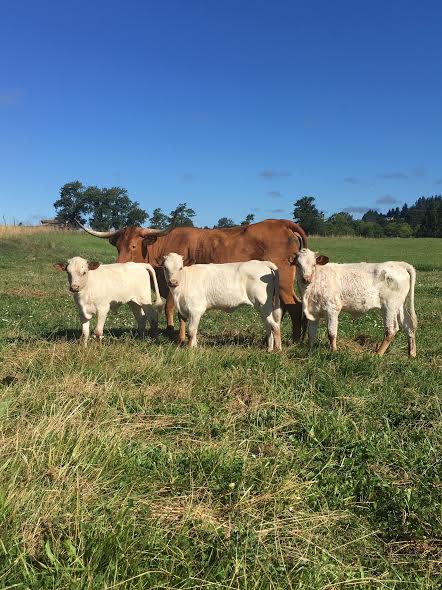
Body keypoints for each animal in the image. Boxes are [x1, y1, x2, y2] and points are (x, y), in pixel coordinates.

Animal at [78, 220, 308, 344]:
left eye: (134, 245)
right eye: (118, 246)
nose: (118, 265)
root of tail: (282, 223)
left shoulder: (174, 286)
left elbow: (173, 310)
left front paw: (177, 335)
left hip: (284, 283)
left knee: (295, 307)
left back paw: (296, 340)